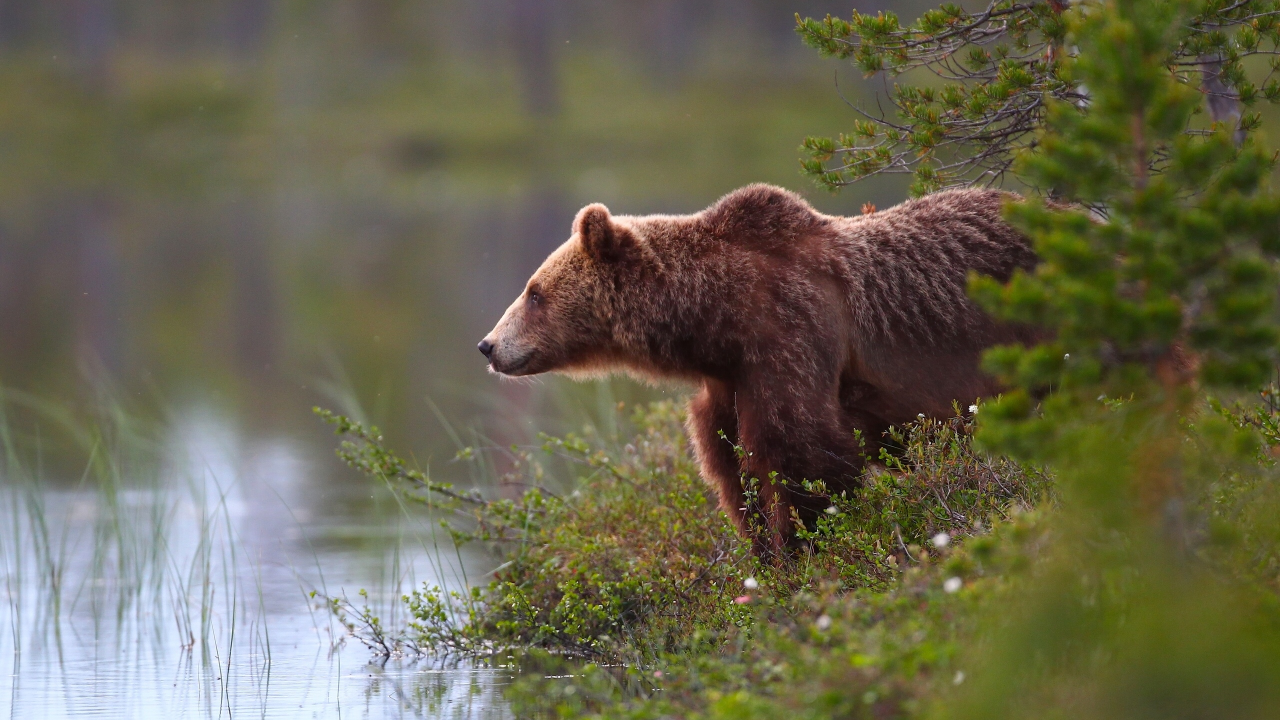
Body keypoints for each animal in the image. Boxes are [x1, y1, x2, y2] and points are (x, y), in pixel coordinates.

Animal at [478, 184, 1039, 556]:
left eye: (534, 291)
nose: (488, 345)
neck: (716, 318)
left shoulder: (790, 334)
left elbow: (803, 453)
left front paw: (802, 545)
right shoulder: (729, 380)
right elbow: (729, 463)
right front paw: (761, 548)